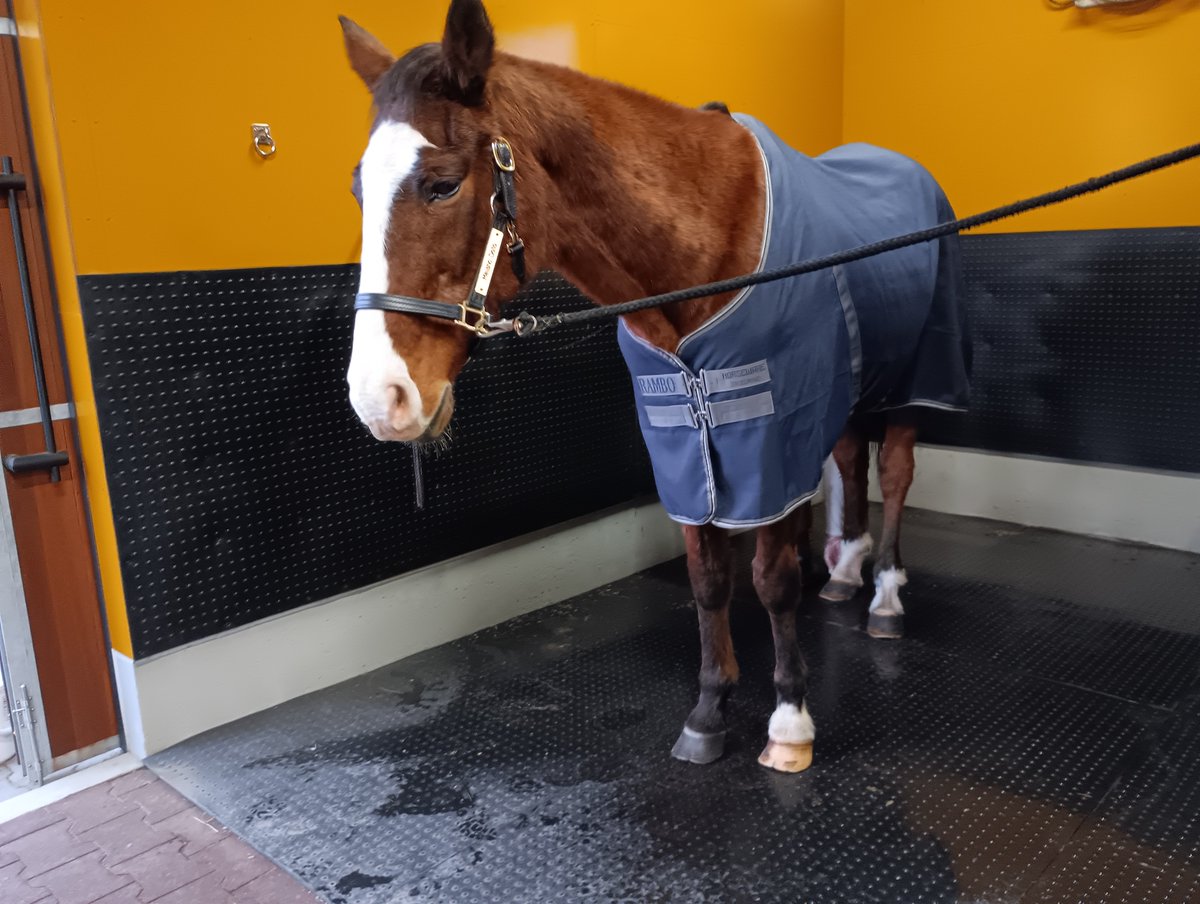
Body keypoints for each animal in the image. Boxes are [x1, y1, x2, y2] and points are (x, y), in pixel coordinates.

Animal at [338, 0, 971, 773]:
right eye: (359, 188)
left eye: (443, 183)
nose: (378, 397)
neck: (700, 255)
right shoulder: (683, 441)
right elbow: (707, 579)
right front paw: (709, 709)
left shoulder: (766, 441)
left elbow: (773, 579)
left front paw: (789, 720)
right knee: (852, 459)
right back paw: (849, 570)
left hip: (916, 378)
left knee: (898, 472)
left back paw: (884, 594)